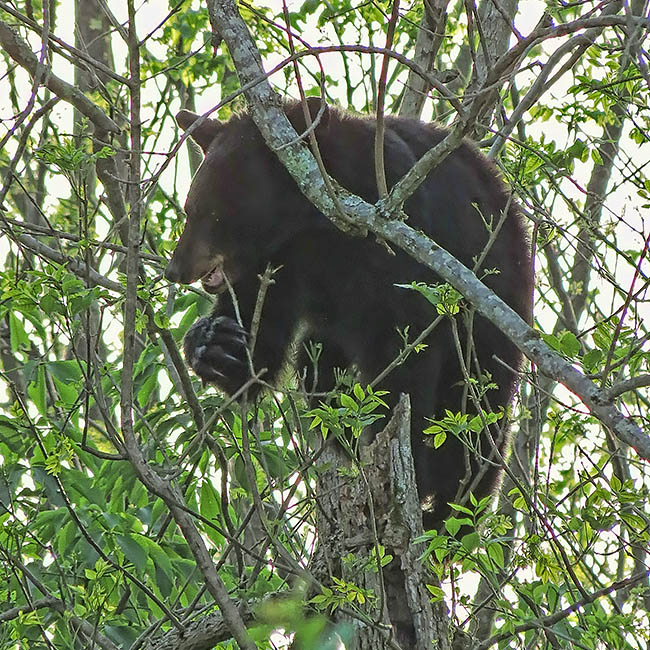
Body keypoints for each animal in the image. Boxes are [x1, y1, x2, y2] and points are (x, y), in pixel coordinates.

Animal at [166, 100, 532, 528]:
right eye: (190, 207)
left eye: (210, 211)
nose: (175, 269)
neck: (313, 229)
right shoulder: (276, 266)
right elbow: (260, 345)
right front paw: (214, 343)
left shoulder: (398, 244)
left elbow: (404, 352)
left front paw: (408, 462)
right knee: (315, 364)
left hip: (494, 313)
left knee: (478, 409)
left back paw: (452, 505)